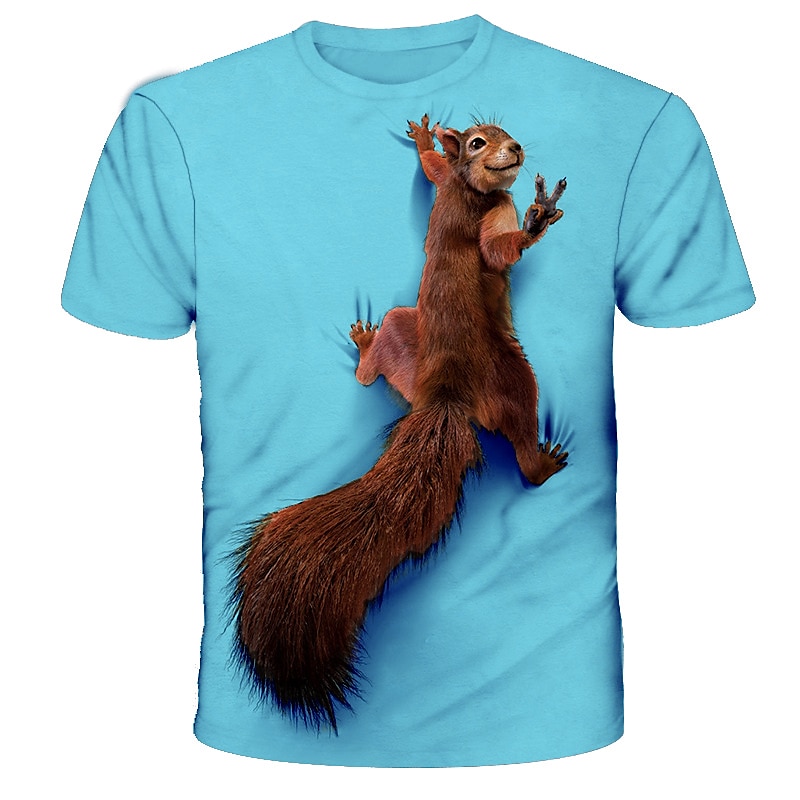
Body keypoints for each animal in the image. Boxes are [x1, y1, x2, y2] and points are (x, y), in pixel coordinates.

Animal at [230, 115, 567, 731]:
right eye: (479, 141)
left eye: (502, 131)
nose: (515, 149)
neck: (470, 189)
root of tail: (442, 397)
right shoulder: (494, 210)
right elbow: (498, 251)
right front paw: (535, 219)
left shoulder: (449, 187)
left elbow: (431, 171)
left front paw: (424, 140)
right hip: (512, 377)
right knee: (523, 441)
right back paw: (541, 462)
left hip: (402, 334)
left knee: (374, 371)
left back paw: (366, 351)